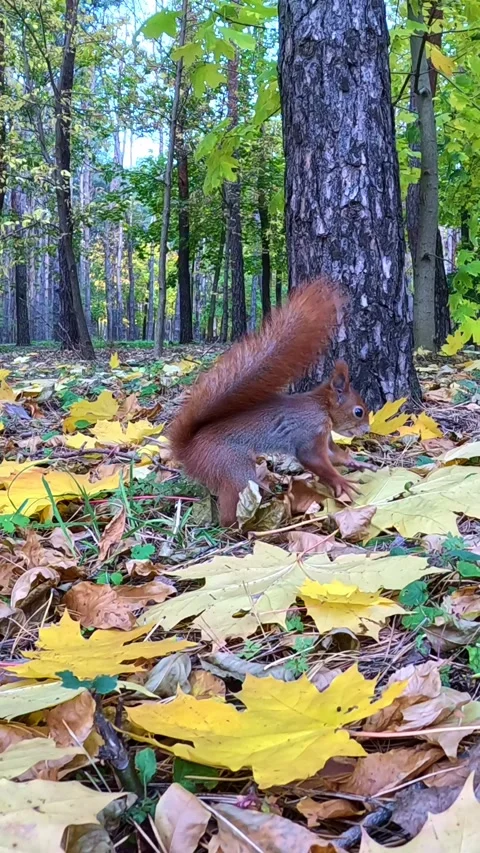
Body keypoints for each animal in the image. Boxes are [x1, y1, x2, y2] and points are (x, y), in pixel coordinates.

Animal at [169, 279, 371, 526]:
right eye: (358, 411)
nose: (367, 429)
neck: (321, 407)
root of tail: (188, 450)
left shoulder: (325, 437)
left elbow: (335, 455)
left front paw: (356, 462)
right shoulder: (309, 432)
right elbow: (314, 460)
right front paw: (342, 482)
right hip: (231, 467)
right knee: (230, 510)